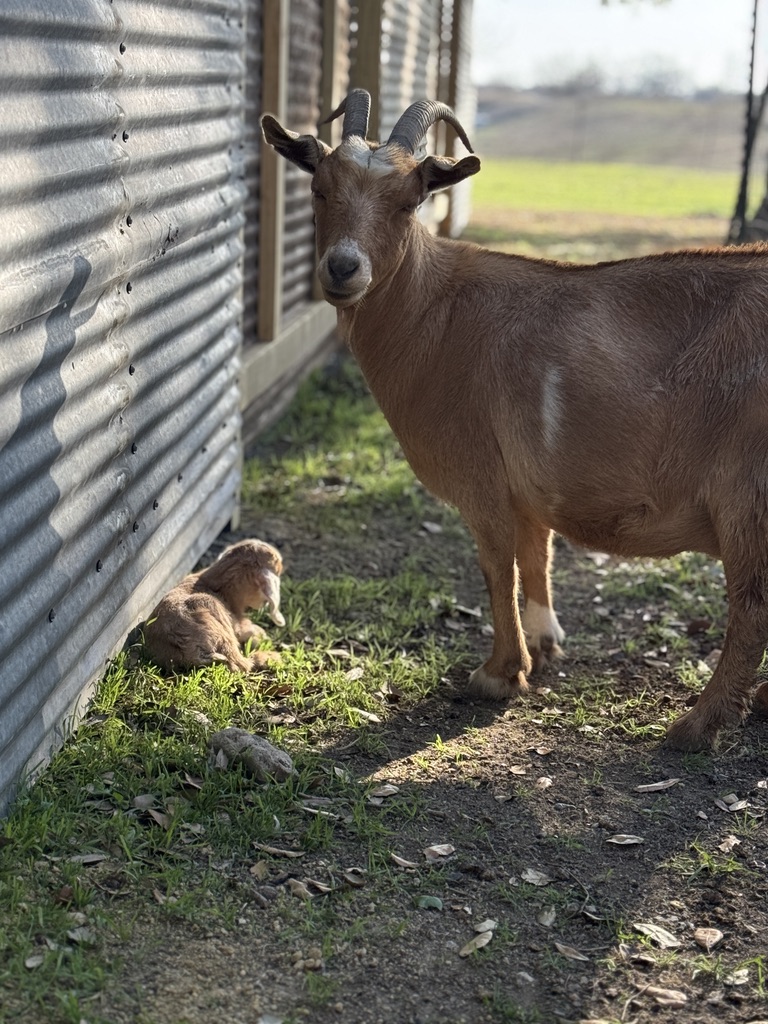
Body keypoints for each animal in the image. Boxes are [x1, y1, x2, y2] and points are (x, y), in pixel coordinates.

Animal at [262, 89, 768, 751]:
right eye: (318, 187)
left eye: (409, 200)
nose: (343, 269)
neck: (435, 314)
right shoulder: (531, 485)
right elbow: (536, 553)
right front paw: (546, 644)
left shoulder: (482, 477)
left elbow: (496, 565)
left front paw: (499, 673)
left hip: (745, 493)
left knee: (752, 605)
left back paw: (697, 724)